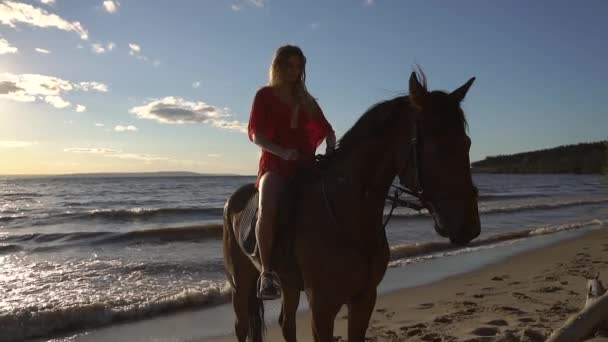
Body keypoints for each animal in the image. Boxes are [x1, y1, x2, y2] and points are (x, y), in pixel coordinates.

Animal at [221, 70, 482, 342]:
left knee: (286, 322)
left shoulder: (364, 299)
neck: (346, 215)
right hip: (240, 284)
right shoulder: (322, 307)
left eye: (467, 142)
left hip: (288, 282)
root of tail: (233, 201)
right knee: (242, 325)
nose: (469, 226)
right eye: (435, 146)